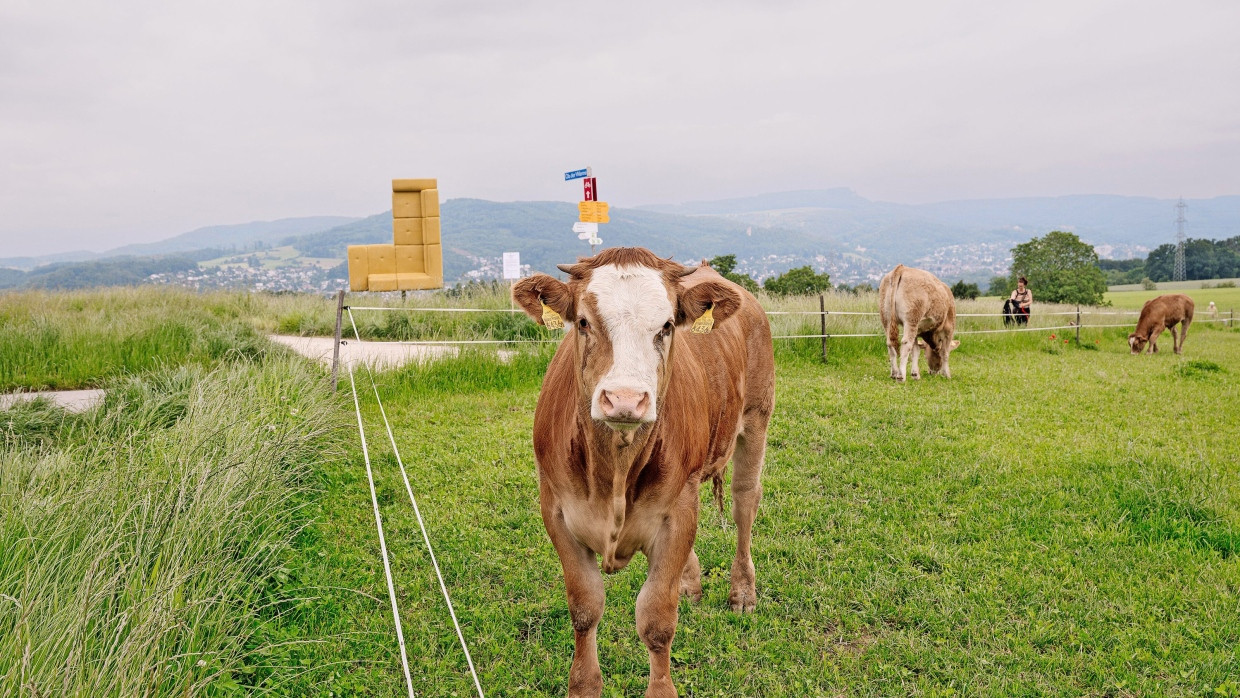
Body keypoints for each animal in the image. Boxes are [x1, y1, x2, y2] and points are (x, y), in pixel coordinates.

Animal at [508, 247, 768, 694]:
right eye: (583, 322)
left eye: (667, 326)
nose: (625, 399)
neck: (614, 467)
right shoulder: (555, 510)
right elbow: (585, 607)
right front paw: (583, 685)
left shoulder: (677, 511)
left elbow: (657, 618)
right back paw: (690, 581)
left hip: (756, 419)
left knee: (744, 505)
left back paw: (743, 592)